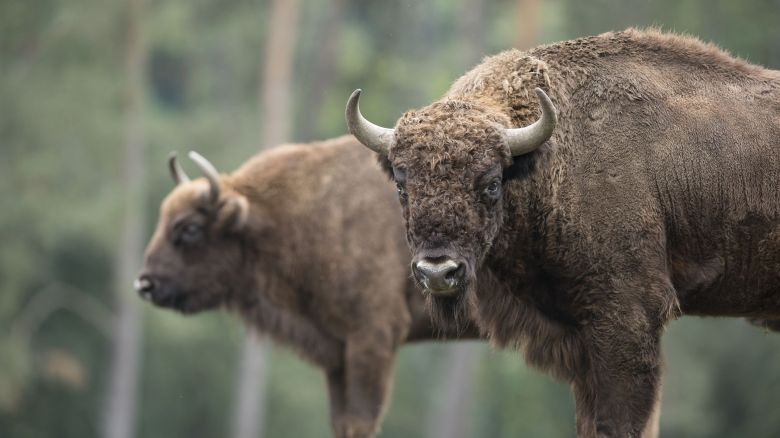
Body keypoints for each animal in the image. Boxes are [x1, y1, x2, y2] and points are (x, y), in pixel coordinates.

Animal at [133, 135, 482, 438]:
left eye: (190, 228)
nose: (145, 284)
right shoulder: (337, 352)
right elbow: (341, 421)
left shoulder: (373, 337)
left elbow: (361, 421)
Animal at [348, 29, 780, 436]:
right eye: (401, 185)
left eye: (491, 183)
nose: (438, 272)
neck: (550, 159)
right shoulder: (580, 340)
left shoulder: (629, 316)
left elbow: (617, 421)